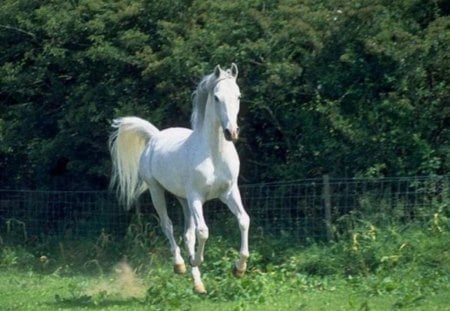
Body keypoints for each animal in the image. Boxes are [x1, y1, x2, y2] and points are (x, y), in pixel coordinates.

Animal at [109, 64, 250, 294]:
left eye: (238, 96)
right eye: (217, 97)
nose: (231, 132)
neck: (213, 154)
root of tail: (155, 137)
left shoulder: (229, 192)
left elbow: (243, 220)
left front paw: (239, 269)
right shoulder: (196, 198)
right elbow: (203, 232)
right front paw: (196, 260)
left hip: (182, 199)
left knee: (187, 235)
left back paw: (198, 284)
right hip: (157, 191)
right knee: (168, 225)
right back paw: (180, 265)